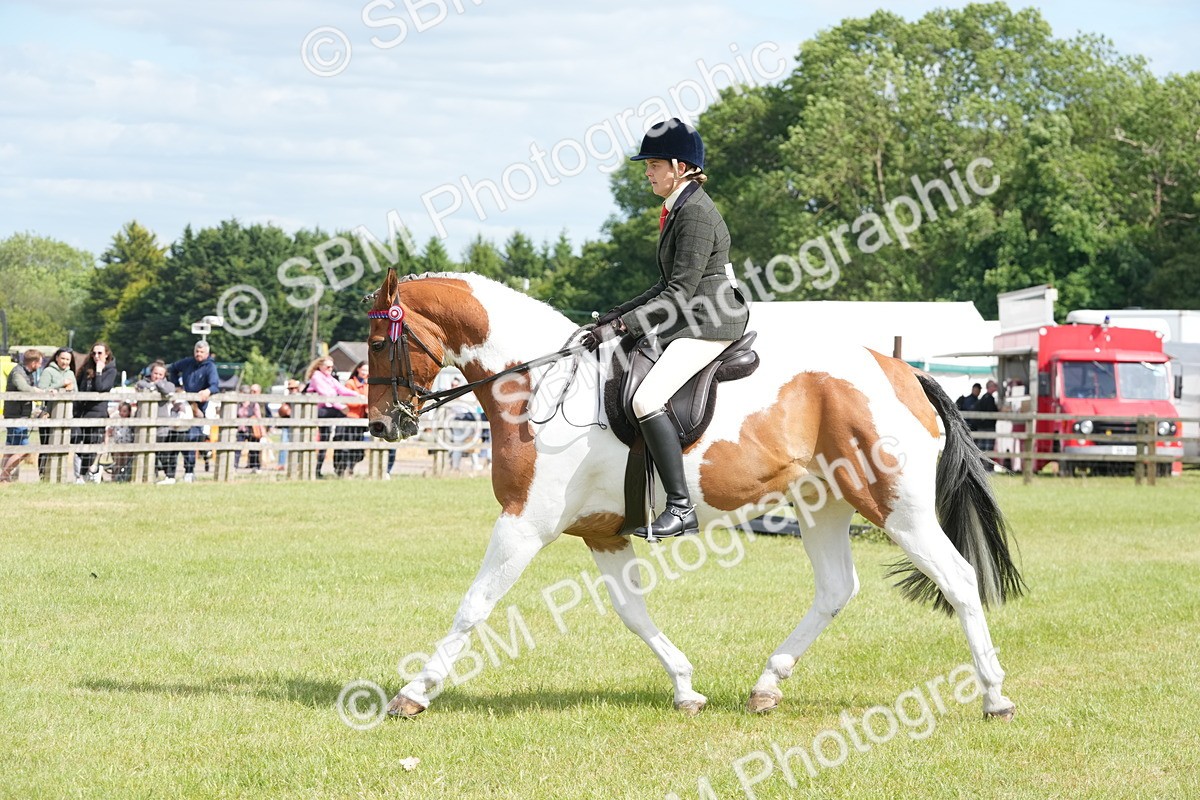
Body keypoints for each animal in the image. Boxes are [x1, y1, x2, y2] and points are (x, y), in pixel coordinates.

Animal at [364, 268, 1024, 720]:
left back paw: (994, 696)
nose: (380, 425)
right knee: (837, 588)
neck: (539, 383)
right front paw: (685, 687)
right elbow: (633, 613)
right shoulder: (601, 532)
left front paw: (412, 693)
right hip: (824, 503)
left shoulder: (525, 522)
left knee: (959, 578)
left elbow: (474, 605)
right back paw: (766, 685)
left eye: (374, 343)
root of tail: (904, 371)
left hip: (897, 508)